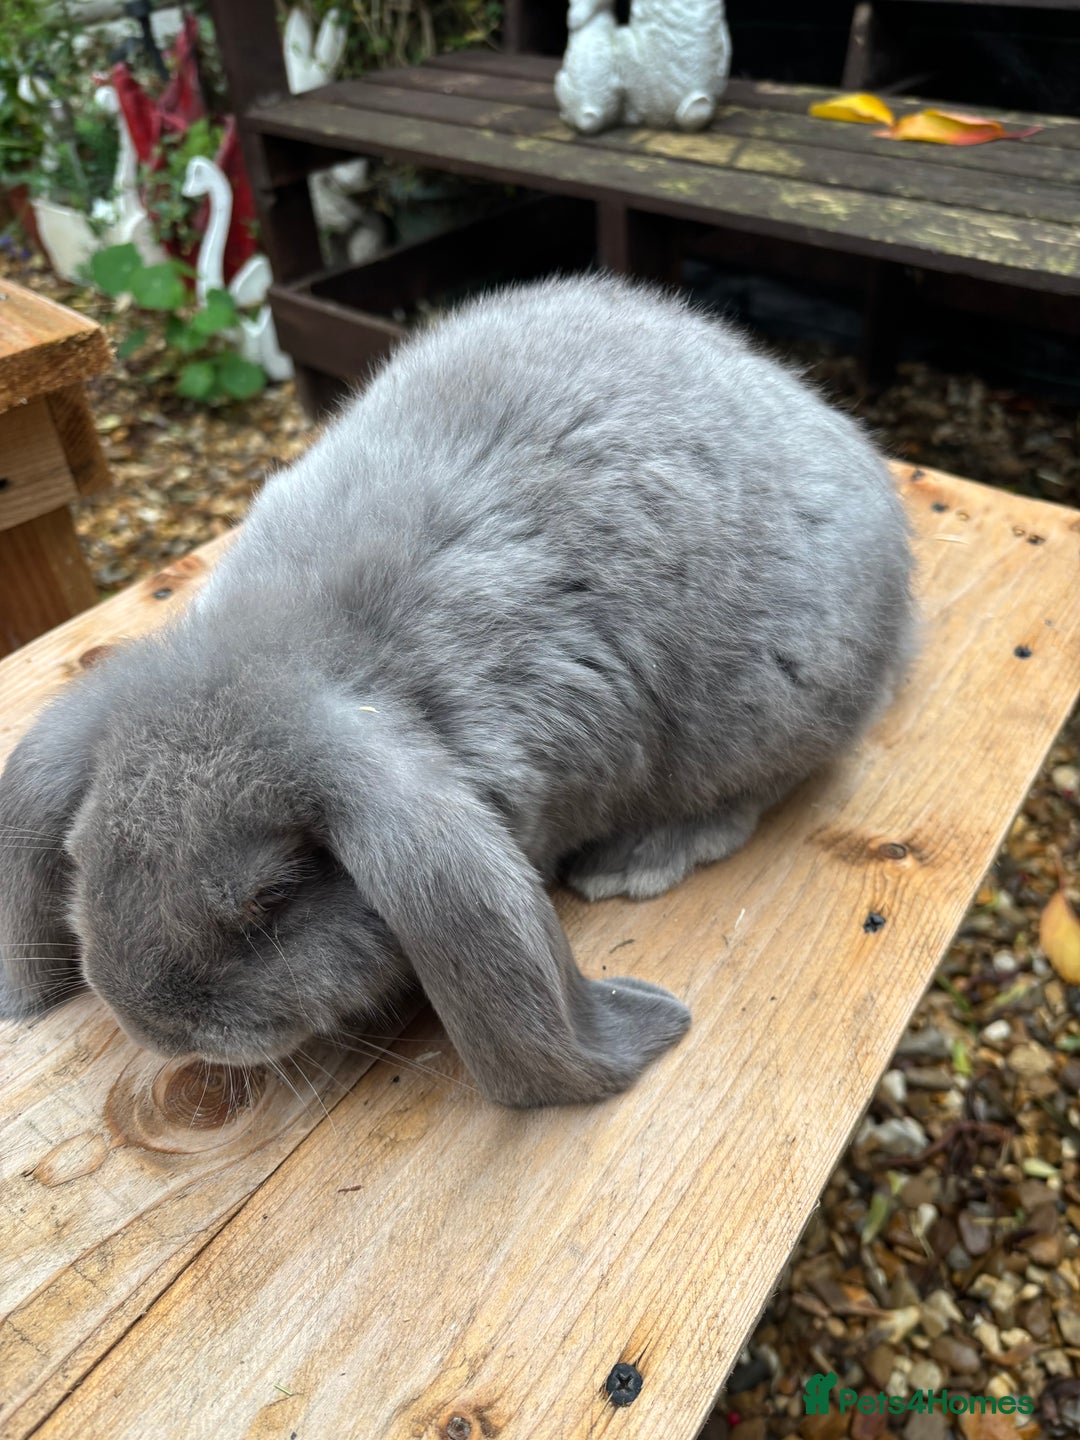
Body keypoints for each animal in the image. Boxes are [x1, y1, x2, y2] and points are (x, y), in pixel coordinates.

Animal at [0, 275, 915, 1110]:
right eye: (80, 857)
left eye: (273, 899)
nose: (150, 1025)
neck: (303, 651)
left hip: (769, 711)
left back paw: (633, 863)